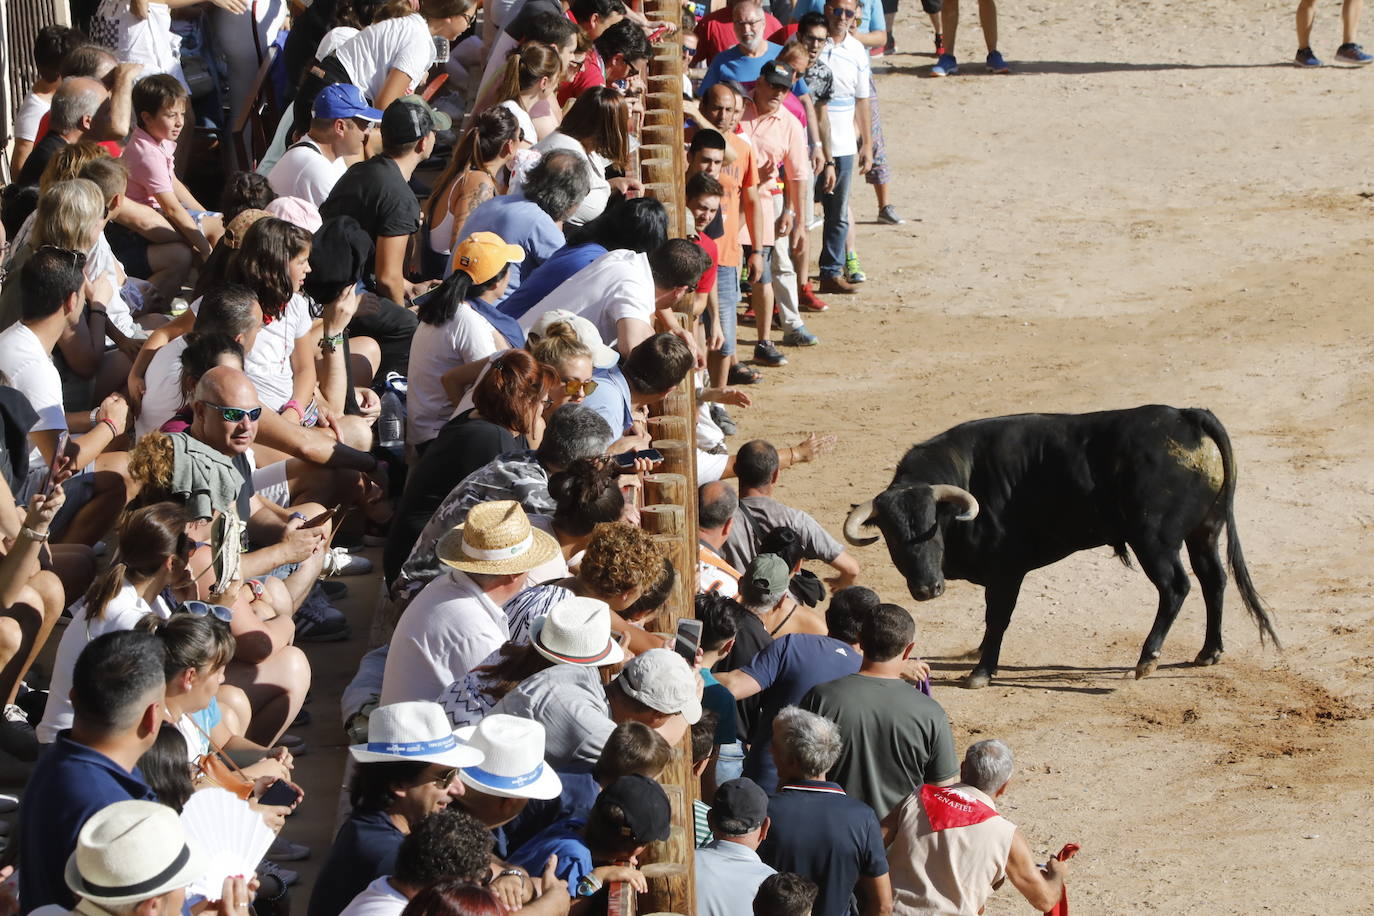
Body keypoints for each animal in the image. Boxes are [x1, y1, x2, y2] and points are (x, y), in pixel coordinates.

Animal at [840, 403, 1280, 683]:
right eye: (893, 536)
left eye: (934, 525)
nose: (927, 589)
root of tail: (1185, 415)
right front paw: (979, 654)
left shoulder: (1006, 573)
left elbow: (998, 617)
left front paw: (981, 672)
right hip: (1205, 530)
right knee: (1213, 580)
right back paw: (1209, 652)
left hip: (1154, 541)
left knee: (1177, 587)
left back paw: (1145, 660)